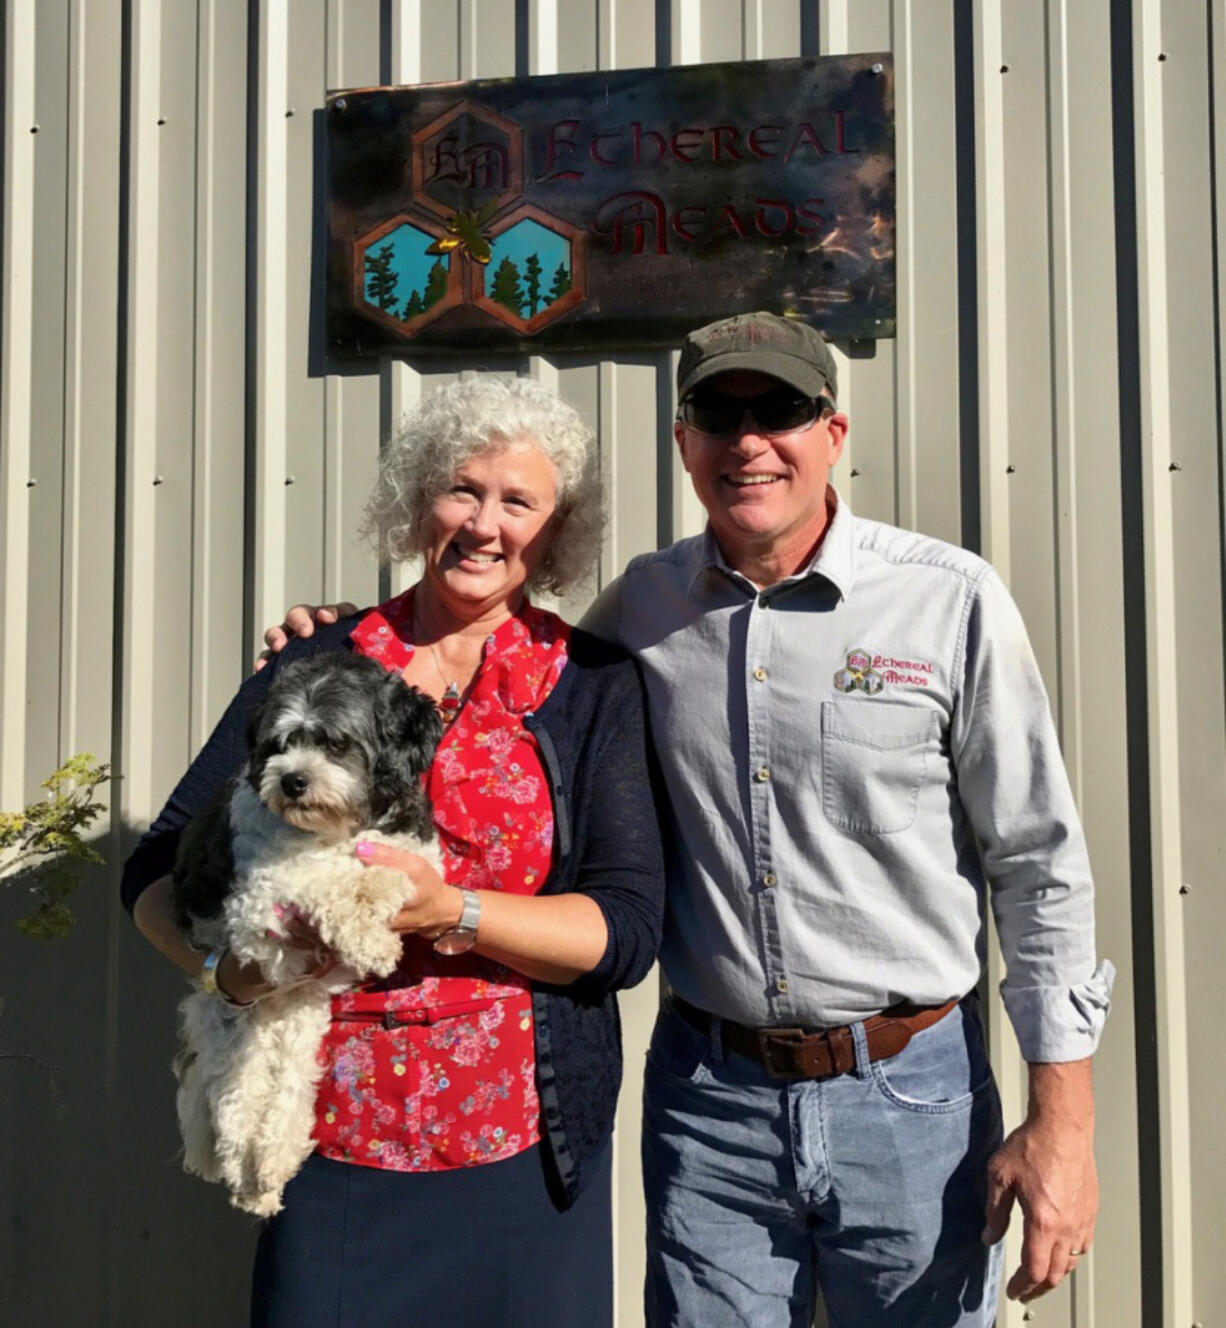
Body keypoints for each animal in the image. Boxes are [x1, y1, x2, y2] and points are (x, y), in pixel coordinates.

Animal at [172, 650, 440, 1216]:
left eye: (337, 743)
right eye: (279, 744)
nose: (292, 781)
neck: (339, 829)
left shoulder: (421, 855)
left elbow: (390, 873)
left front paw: (374, 904)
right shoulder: (258, 905)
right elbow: (320, 881)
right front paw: (369, 936)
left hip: (300, 1022)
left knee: (288, 1096)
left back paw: (272, 1166)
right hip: (234, 1026)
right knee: (234, 1109)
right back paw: (247, 1178)